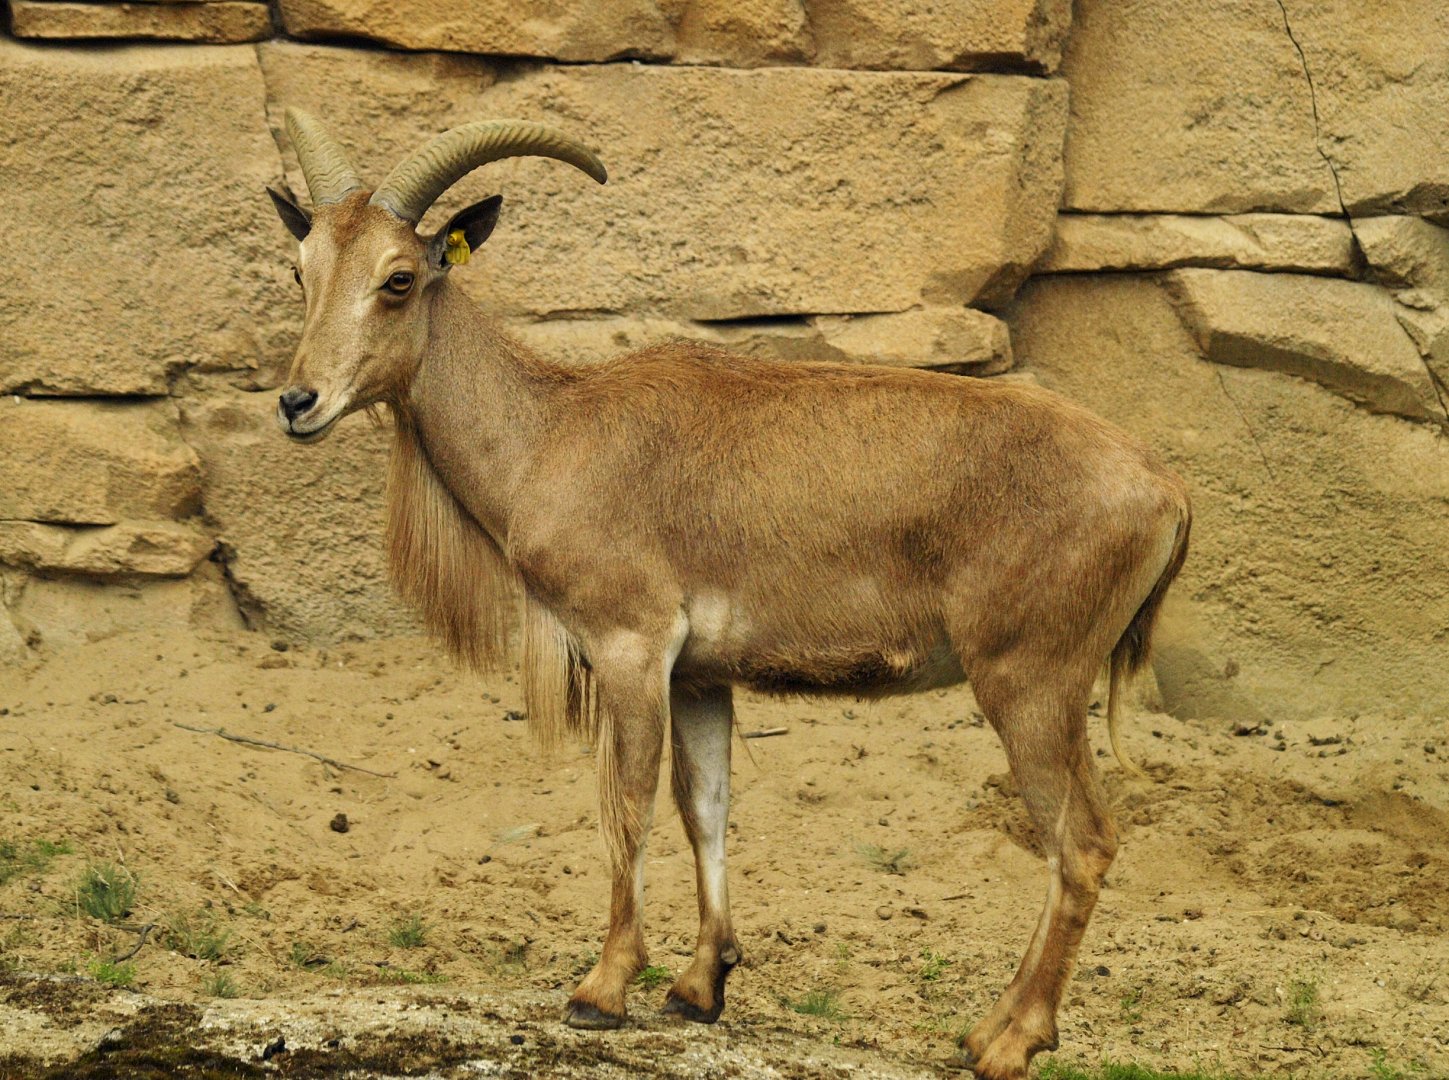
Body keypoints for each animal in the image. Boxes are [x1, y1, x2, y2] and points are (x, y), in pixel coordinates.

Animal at [266, 107, 1191, 1080]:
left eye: (399, 278)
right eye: (301, 270)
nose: (298, 401)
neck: (549, 434)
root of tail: (1166, 491)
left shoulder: (630, 643)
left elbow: (626, 802)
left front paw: (600, 990)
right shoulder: (701, 674)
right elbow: (702, 805)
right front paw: (698, 986)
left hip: (1031, 679)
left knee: (1081, 844)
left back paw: (1008, 1041)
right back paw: (990, 1029)